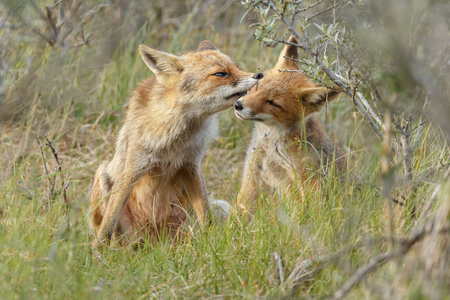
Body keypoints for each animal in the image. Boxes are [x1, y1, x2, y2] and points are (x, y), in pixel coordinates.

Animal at [89, 40, 262, 246]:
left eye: (237, 67)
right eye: (221, 74)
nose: (259, 75)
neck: (174, 138)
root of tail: (156, 243)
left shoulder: (191, 165)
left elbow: (205, 215)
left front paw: (209, 242)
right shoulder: (133, 169)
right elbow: (108, 222)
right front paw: (96, 252)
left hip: (215, 209)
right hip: (102, 175)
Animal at [236, 36, 344, 214]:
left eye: (273, 103)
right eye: (258, 85)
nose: (238, 105)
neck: (272, 148)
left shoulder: (307, 179)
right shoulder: (253, 170)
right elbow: (241, 208)